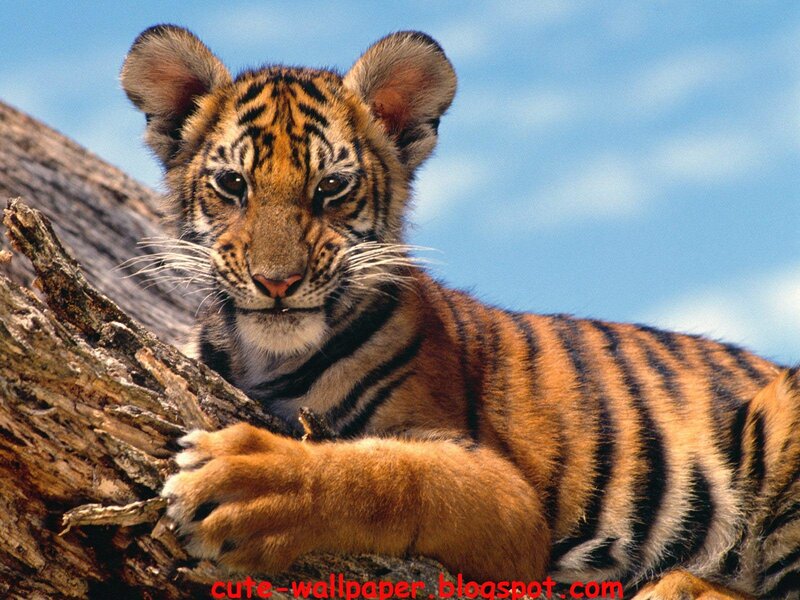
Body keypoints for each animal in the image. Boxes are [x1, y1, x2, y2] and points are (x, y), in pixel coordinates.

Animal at [120, 25, 800, 599]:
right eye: (232, 185)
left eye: (331, 187)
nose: (277, 281)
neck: (266, 355)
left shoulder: (509, 499)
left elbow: (392, 476)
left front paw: (245, 488)